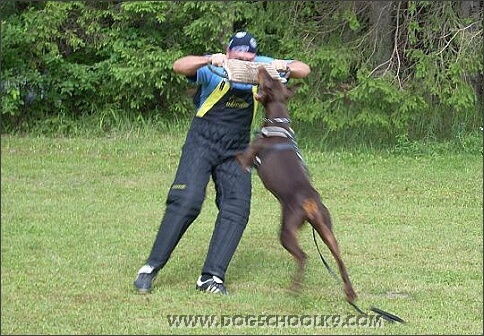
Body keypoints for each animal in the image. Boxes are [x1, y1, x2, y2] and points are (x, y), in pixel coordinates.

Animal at [236, 67, 358, 304]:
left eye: (267, 80)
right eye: (274, 78)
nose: (262, 68)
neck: (278, 122)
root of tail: (309, 201)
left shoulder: (245, 159)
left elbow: (236, 155)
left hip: (287, 230)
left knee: (303, 257)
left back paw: (294, 289)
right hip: (326, 229)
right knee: (339, 259)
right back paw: (350, 293)